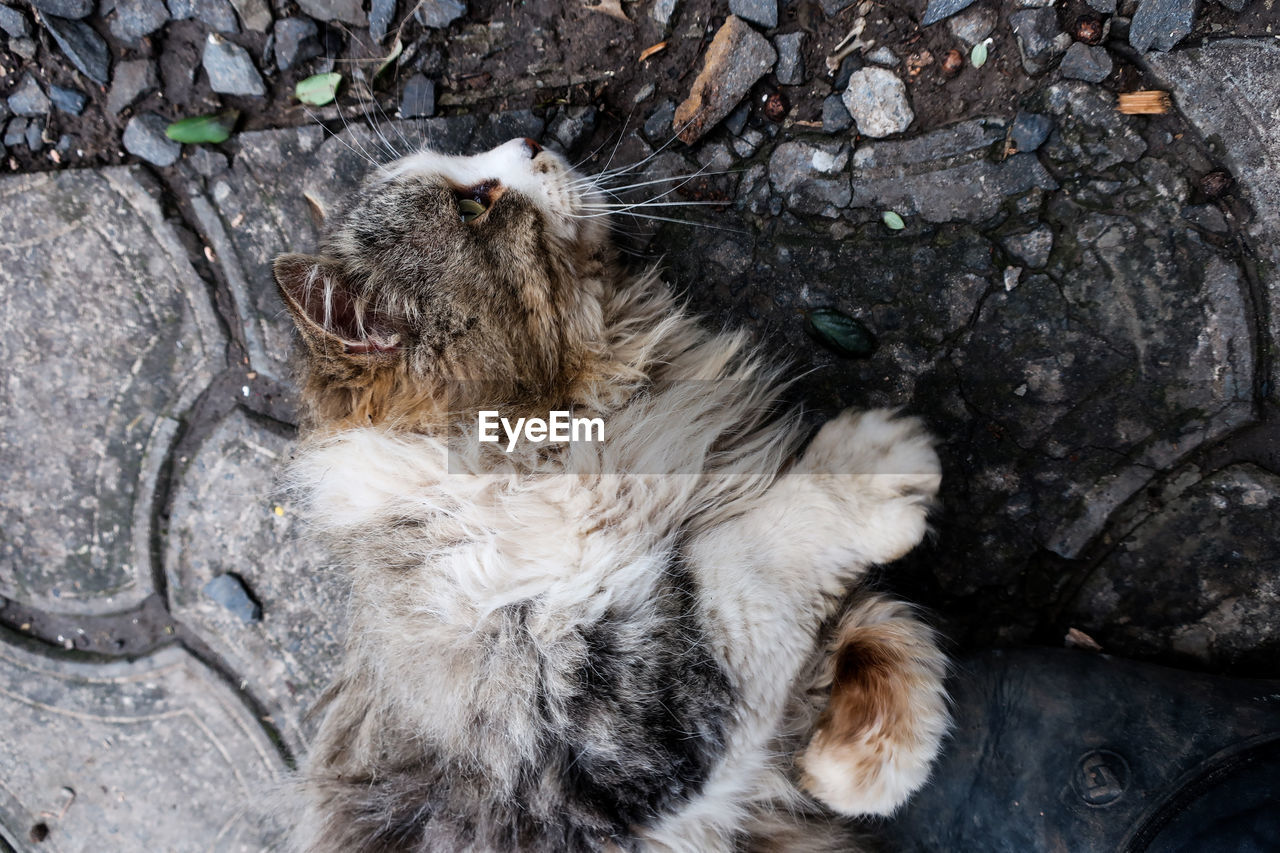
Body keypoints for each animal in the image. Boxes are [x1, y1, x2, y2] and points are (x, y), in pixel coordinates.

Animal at [272, 136, 952, 845]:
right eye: (471, 206)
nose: (531, 140)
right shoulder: (600, 724)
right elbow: (746, 558)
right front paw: (876, 466)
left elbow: (892, 637)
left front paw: (851, 766)